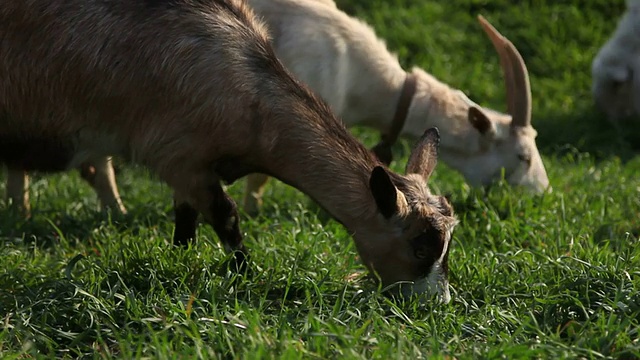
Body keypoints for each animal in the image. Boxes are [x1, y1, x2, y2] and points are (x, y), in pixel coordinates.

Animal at [0, 0, 460, 300]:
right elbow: (226, 217)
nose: (438, 303)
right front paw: (244, 273)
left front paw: (181, 260)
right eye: (420, 248)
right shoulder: (181, 156)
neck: (252, 95)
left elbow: (185, 221)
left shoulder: (187, 168)